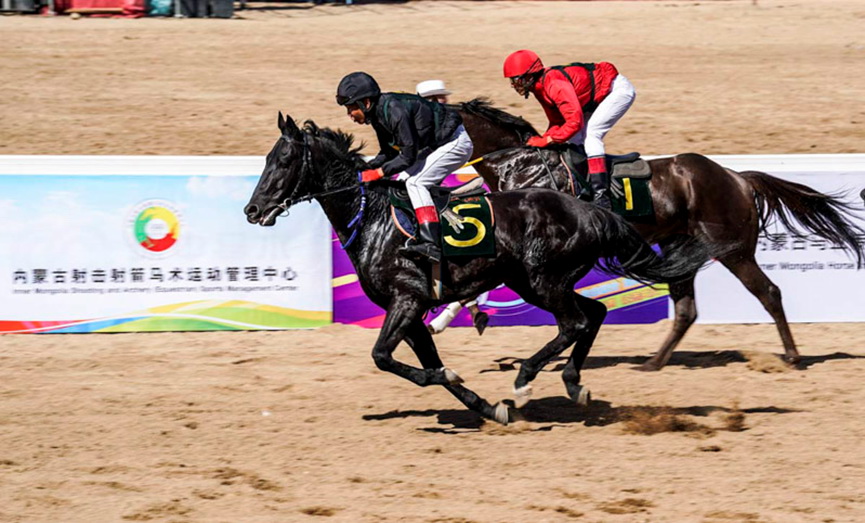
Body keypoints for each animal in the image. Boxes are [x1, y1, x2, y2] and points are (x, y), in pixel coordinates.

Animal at [245, 112, 716, 424]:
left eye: (283, 161)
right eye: (266, 159)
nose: (252, 210)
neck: (372, 218)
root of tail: (591, 209)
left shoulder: (406, 299)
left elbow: (383, 357)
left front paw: (477, 384)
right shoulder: (411, 311)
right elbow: (428, 364)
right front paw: (487, 406)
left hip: (543, 280)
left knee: (576, 322)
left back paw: (526, 381)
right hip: (534, 281)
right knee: (594, 314)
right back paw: (573, 383)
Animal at [452, 100, 864, 370]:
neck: (521, 164)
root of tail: (738, 178)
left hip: (733, 250)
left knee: (769, 292)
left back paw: (793, 356)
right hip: (680, 246)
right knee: (686, 309)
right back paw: (654, 362)